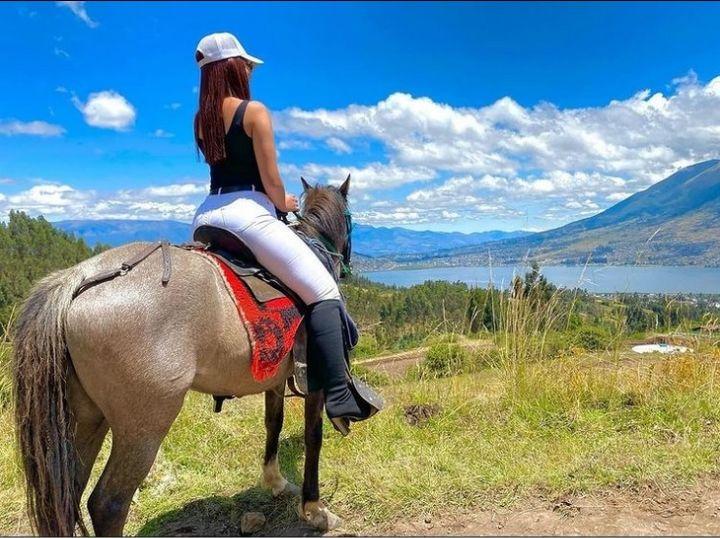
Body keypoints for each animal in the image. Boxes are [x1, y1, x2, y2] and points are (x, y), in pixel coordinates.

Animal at [11, 175, 354, 532]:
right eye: (350, 219)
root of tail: (78, 279)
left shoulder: (275, 378)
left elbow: (273, 423)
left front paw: (275, 482)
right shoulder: (313, 378)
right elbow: (313, 435)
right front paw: (314, 510)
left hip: (85, 416)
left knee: (69, 491)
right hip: (143, 427)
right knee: (107, 503)